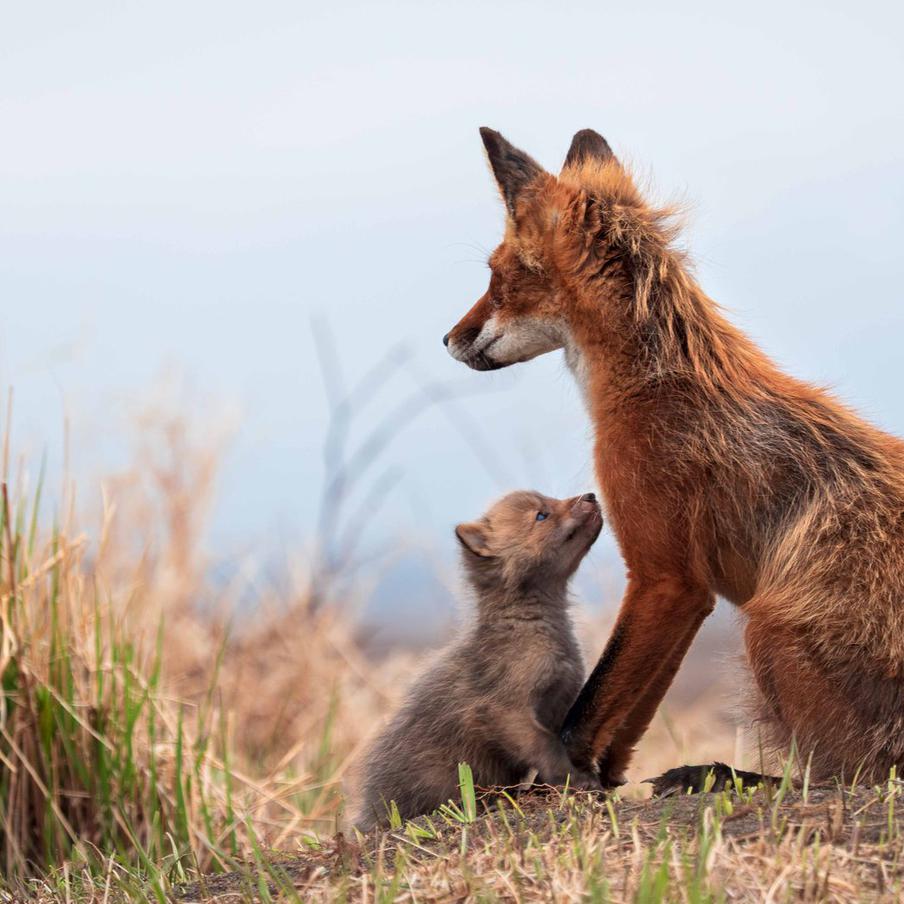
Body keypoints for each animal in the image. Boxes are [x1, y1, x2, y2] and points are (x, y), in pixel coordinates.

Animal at [444, 125, 904, 784]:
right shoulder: (690, 595)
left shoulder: (663, 577)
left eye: (496, 276)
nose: (447, 339)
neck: (654, 385)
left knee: (849, 777)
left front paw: (555, 781)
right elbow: (628, 721)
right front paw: (605, 779)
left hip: (767, 630)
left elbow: (586, 712)